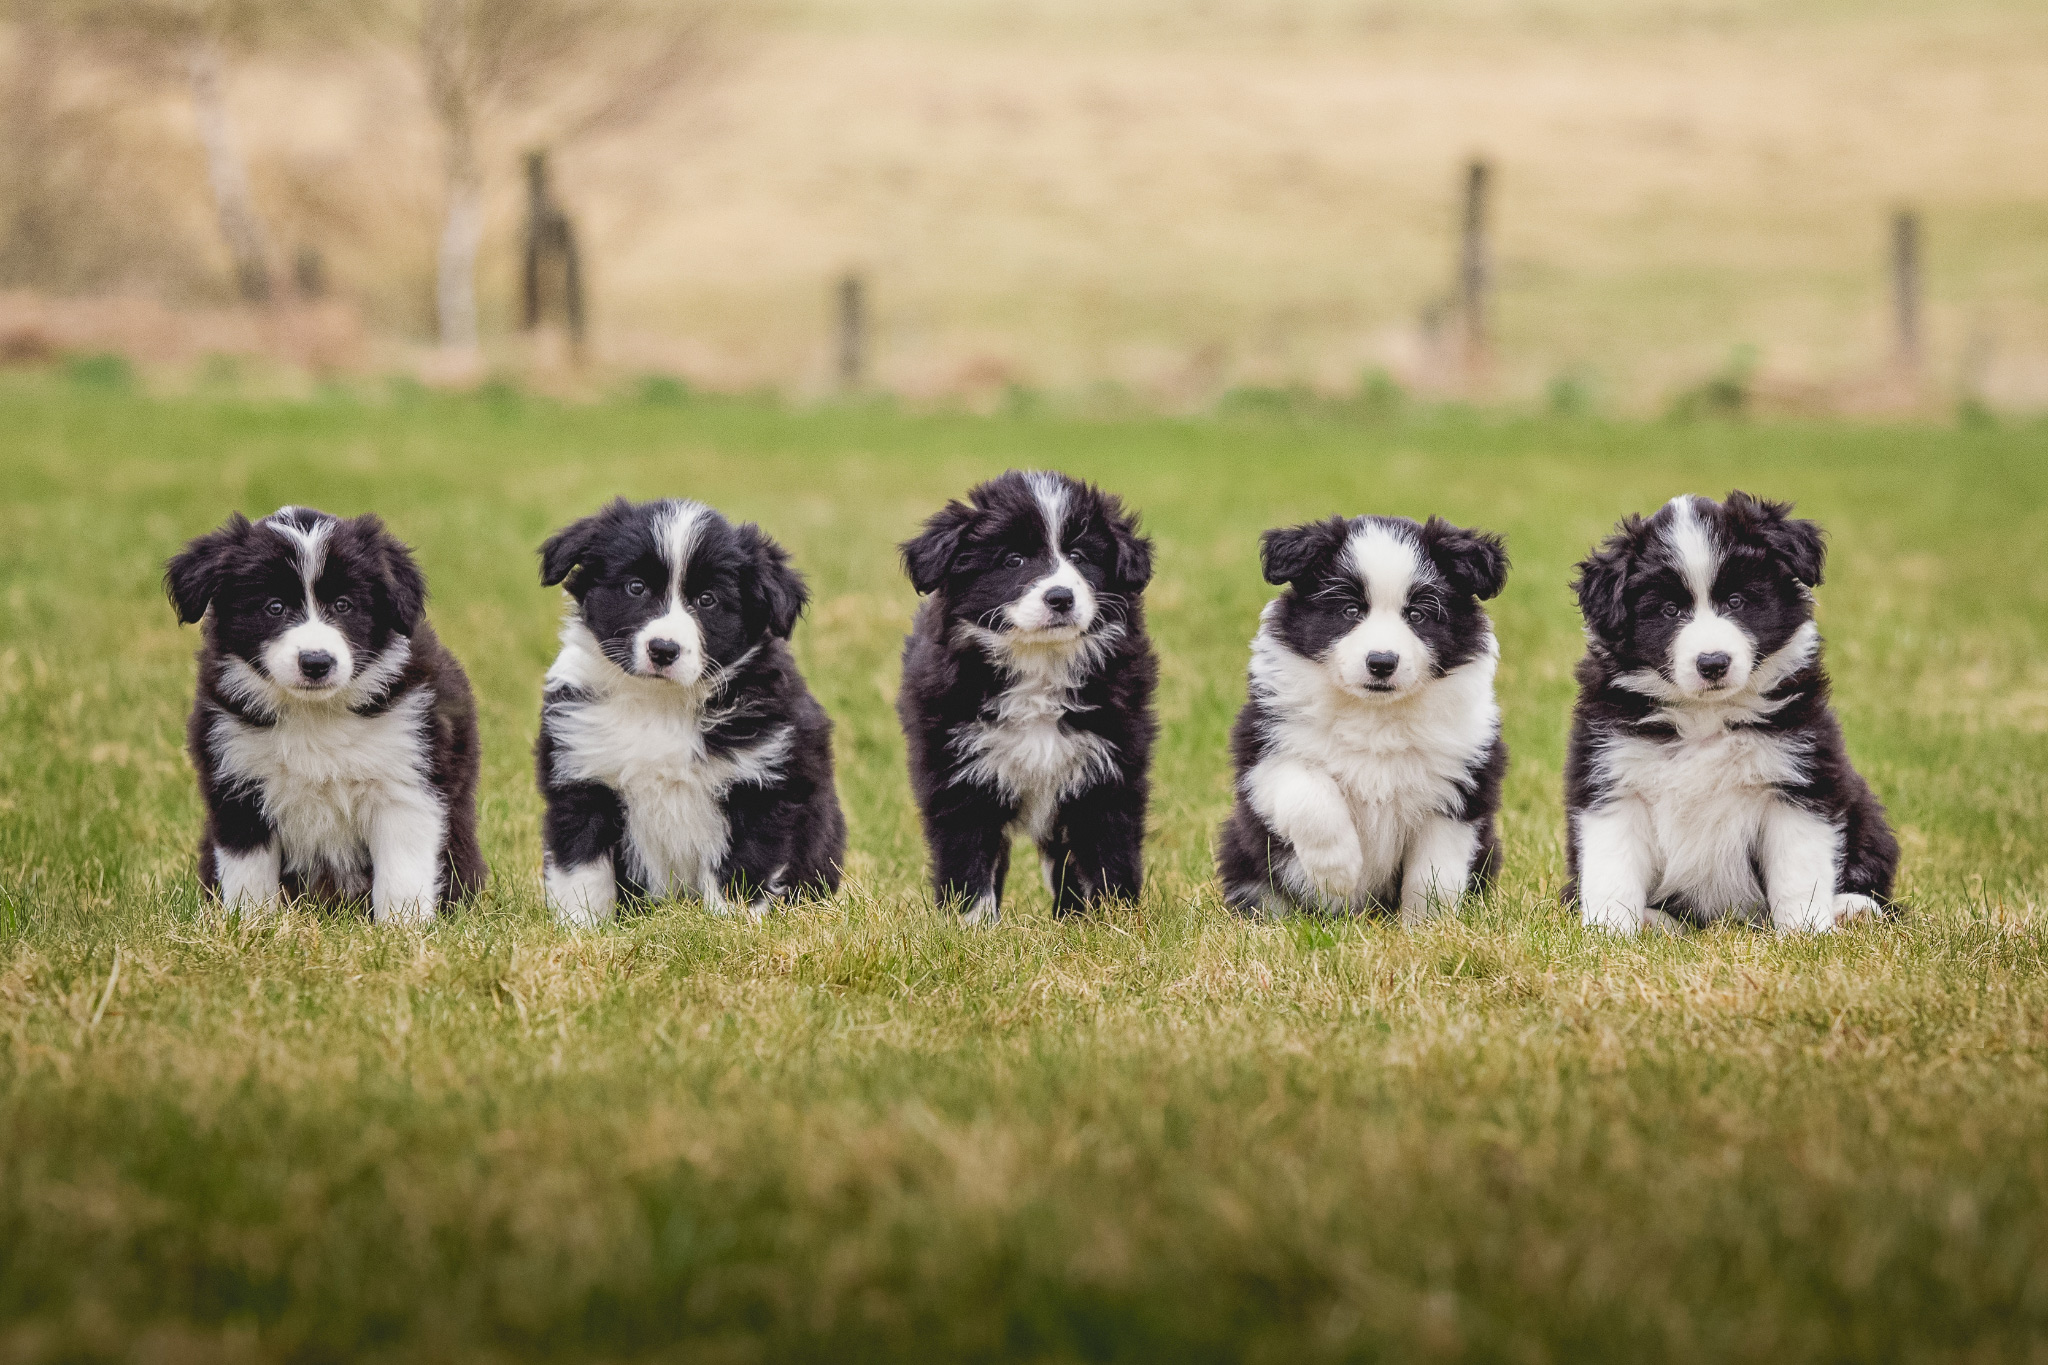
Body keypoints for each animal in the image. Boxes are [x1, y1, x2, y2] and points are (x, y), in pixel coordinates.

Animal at [164, 507, 487, 925]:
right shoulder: (238, 784)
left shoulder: (405, 782)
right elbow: (249, 875)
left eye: (344, 604)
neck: (315, 714)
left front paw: (403, 930)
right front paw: (250, 927)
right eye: (274, 607)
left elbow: (402, 874)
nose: (316, 662)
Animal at [536, 497, 847, 925]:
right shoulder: (583, 776)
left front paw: (729, 928)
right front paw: (582, 928)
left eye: (707, 599)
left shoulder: (763, 785)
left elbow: (742, 869)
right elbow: (582, 869)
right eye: (636, 587)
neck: (662, 703)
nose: (663, 649)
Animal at [1212, 517, 1507, 925]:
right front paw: (1337, 873)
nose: (1381, 661)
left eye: (1417, 614)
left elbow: (1436, 870)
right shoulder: (1265, 749)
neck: (1374, 715)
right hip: (1243, 853)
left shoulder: (1462, 783)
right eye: (1350, 611)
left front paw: (1428, 927)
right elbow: (1309, 793)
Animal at [1564, 493, 1900, 941]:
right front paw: (1610, 934)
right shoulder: (1613, 778)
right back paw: (1655, 922)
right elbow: (1611, 871)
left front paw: (1806, 935)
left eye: (1736, 601)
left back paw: (1852, 908)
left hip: (1865, 814)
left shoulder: (1798, 779)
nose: (1713, 663)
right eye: (1669, 609)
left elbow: (1799, 870)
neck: (1707, 715)